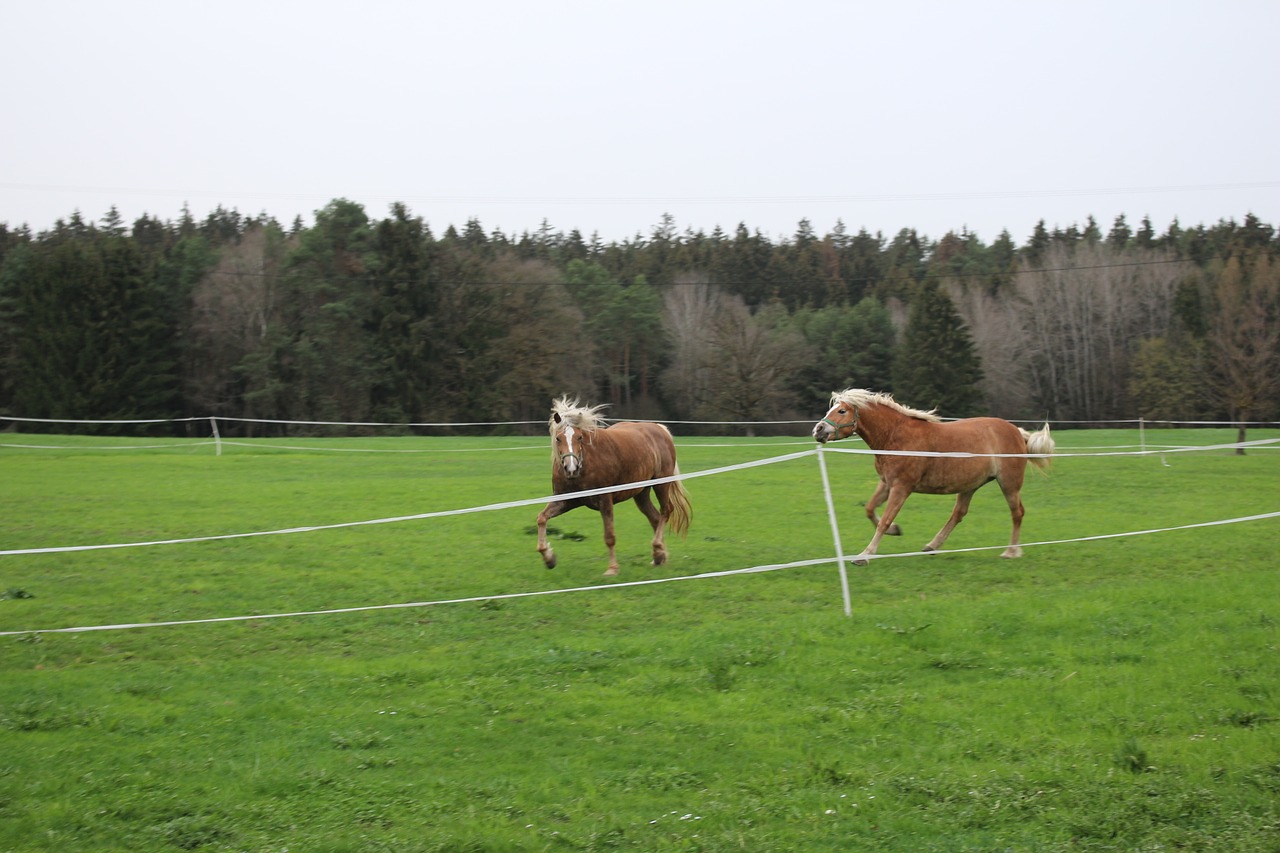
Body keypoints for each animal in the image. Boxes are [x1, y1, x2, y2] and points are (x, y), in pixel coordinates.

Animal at [535, 394, 691, 573]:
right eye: (558, 438)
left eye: (579, 437)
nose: (571, 468)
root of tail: (659, 429)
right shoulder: (565, 501)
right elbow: (541, 518)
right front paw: (549, 558)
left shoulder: (605, 500)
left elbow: (609, 536)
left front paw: (612, 568)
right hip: (641, 493)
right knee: (655, 518)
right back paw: (659, 556)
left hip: (661, 485)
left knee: (666, 511)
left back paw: (658, 548)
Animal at [814, 389, 1054, 560]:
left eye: (841, 411)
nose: (818, 430)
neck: (894, 436)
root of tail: (1017, 432)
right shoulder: (887, 483)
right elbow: (870, 509)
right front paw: (895, 530)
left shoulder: (902, 487)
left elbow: (885, 519)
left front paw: (864, 555)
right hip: (970, 485)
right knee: (958, 513)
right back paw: (932, 546)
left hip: (1009, 484)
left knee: (1017, 513)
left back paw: (1011, 552)